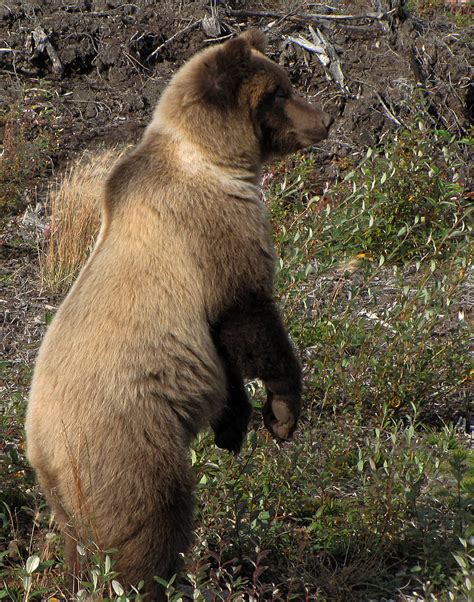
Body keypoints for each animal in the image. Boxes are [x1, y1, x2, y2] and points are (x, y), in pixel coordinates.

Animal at [25, 29, 334, 600]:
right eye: (280, 91)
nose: (324, 120)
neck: (213, 158)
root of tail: (42, 449)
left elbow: (226, 352)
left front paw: (234, 427)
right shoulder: (214, 232)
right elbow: (252, 321)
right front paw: (283, 414)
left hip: (67, 497)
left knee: (81, 546)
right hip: (128, 447)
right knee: (150, 525)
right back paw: (158, 582)